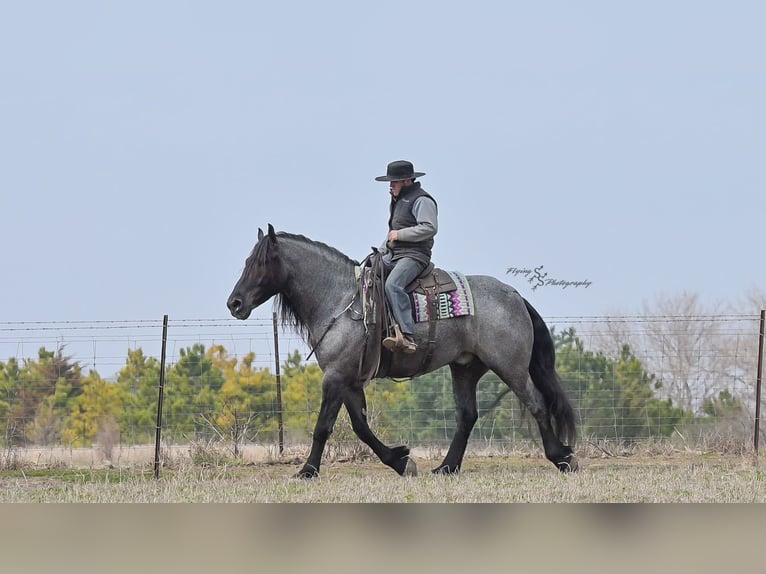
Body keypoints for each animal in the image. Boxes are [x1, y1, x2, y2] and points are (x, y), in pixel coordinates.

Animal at [227, 224, 577, 478]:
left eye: (261, 262)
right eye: (246, 262)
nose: (235, 303)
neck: (342, 301)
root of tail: (515, 295)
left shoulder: (335, 377)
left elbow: (323, 427)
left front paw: (308, 471)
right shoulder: (350, 380)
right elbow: (361, 427)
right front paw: (400, 460)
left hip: (510, 367)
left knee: (537, 404)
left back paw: (562, 458)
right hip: (465, 367)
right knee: (467, 416)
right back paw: (446, 467)